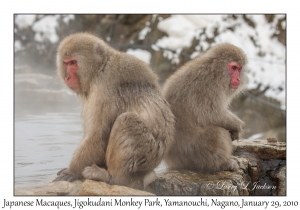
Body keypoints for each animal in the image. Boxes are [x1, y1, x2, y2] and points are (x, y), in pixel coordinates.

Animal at [162, 43, 248, 173]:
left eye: (239, 69)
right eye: (233, 67)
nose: (238, 79)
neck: (215, 72)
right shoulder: (208, 86)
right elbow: (212, 114)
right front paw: (237, 125)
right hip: (194, 151)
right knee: (219, 133)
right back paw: (222, 164)